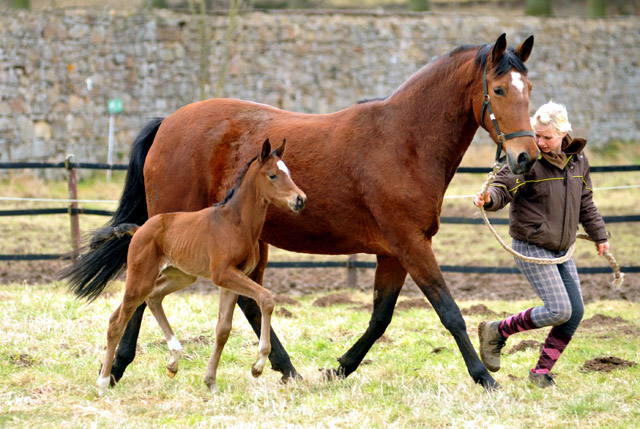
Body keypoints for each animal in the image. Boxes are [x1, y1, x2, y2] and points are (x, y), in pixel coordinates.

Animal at [95, 140, 304, 392]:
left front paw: (211, 381)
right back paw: (103, 382)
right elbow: (266, 299)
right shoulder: (222, 274)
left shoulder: (231, 280)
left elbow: (223, 329)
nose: (300, 199)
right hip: (141, 277)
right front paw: (258, 366)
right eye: (272, 175)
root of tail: (139, 230)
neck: (236, 223)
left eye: (289, 173)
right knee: (117, 321)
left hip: (180, 276)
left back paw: (173, 360)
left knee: (151, 298)